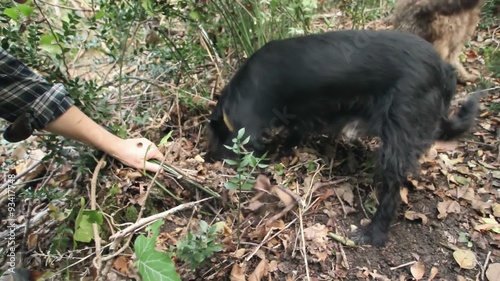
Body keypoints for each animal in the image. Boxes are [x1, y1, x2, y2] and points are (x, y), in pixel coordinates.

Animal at [205, 29, 478, 246]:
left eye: (215, 136)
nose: (209, 159)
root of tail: (443, 69)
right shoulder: (301, 115)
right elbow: (295, 131)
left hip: (398, 135)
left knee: (392, 189)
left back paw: (374, 232)